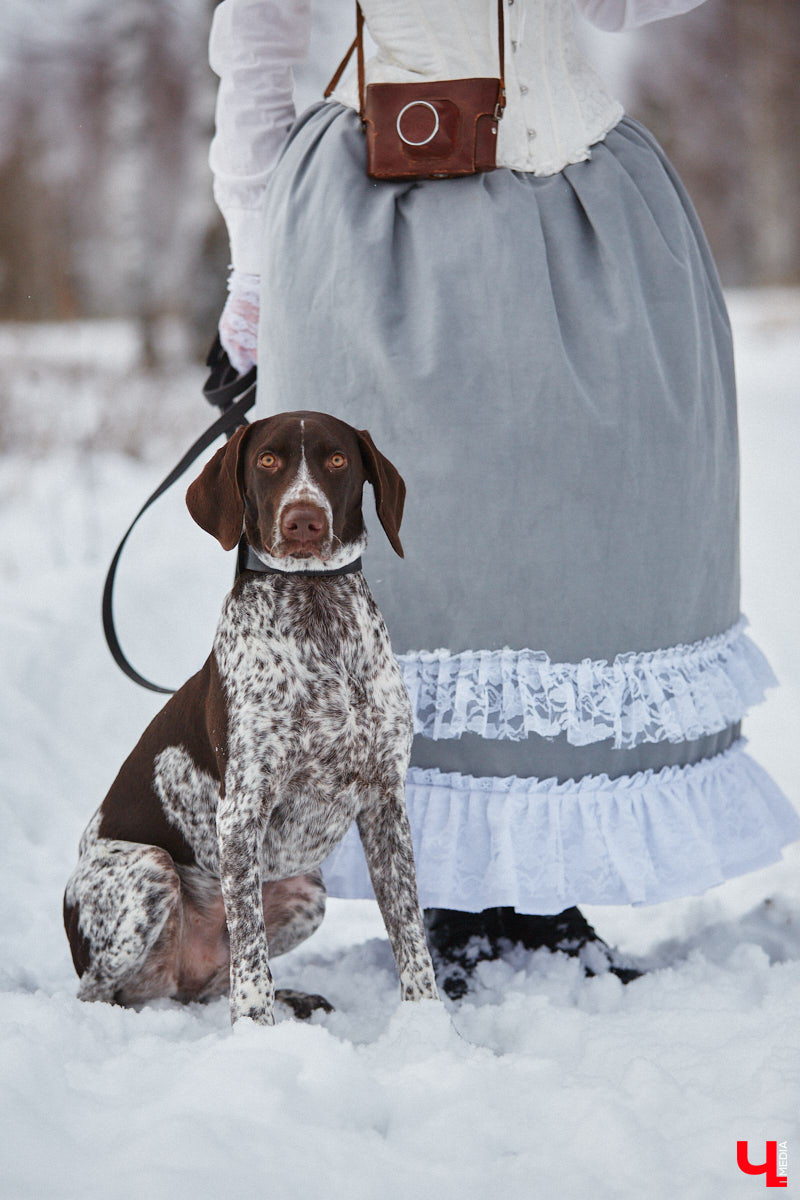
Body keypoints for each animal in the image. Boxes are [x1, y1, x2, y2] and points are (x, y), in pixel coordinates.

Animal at [62, 410, 438, 1022]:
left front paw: (429, 1026)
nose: (303, 521)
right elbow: (250, 955)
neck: (318, 615)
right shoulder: (242, 811)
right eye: (267, 460)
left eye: (338, 459)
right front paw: (256, 1031)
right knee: (104, 989)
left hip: (306, 895)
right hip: (149, 873)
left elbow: (409, 933)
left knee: (209, 982)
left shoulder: (385, 802)